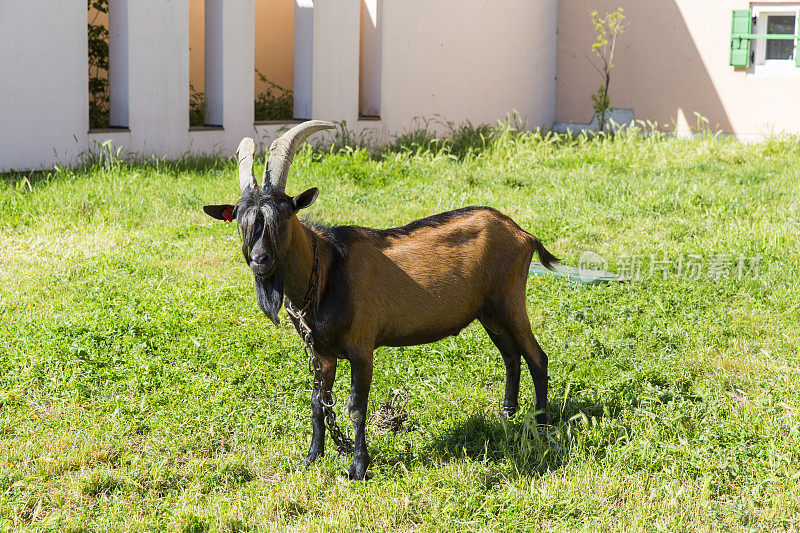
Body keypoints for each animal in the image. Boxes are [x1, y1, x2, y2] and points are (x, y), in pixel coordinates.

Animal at [203, 120, 560, 478]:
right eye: (241, 219)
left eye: (283, 215)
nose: (259, 259)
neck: (328, 268)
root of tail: (523, 234)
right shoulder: (321, 352)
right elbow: (318, 404)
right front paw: (310, 459)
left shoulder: (362, 348)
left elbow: (356, 407)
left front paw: (357, 466)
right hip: (489, 312)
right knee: (511, 356)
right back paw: (507, 415)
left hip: (509, 300)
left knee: (536, 357)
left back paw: (541, 425)